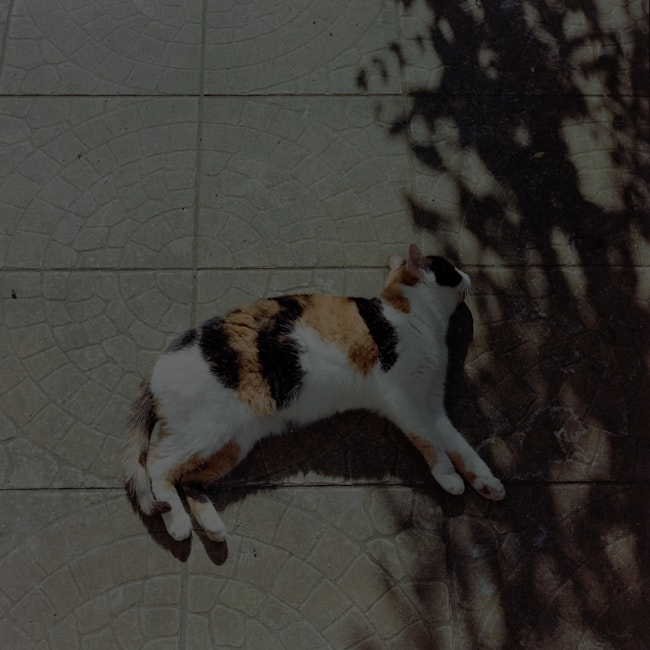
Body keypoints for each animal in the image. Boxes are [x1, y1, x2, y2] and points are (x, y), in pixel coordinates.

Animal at [123, 244, 505, 542]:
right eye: (451, 269)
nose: (469, 276)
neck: (416, 316)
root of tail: (157, 364)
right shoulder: (404, 401)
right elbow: (431, 443)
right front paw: (449, 478)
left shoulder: (432, 405)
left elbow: (460, 446)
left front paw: (486, 482)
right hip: (204, 431)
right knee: (158, 467)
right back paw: (177, 524)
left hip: (233, 443)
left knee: (189, 480)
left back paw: (213, 528)